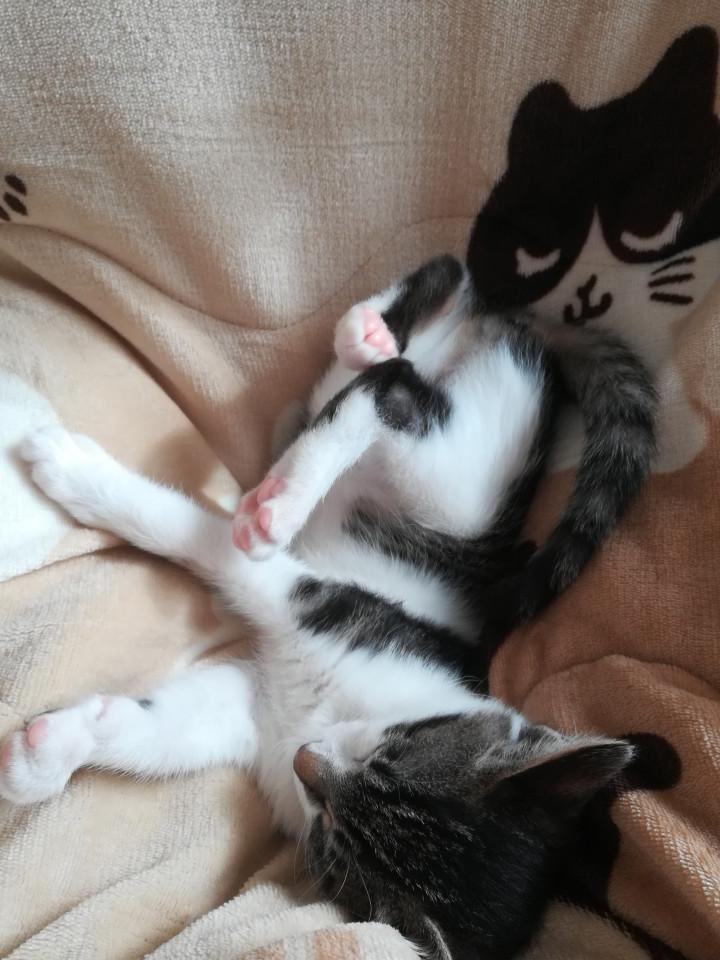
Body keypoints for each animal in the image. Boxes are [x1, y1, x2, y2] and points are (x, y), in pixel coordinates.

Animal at [0, 255, 650, 959]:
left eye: (337, 835)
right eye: (394, 747)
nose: (308, 760)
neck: (336, 711)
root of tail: (535, 336)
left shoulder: (258, 713)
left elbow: (163, 730)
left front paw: (50, 751)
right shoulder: (323, 605)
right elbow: (198, 536)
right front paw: (75, 472)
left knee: (390, 383)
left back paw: (366, 352)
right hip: (462, 485)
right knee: (398, 375)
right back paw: (319, 429)